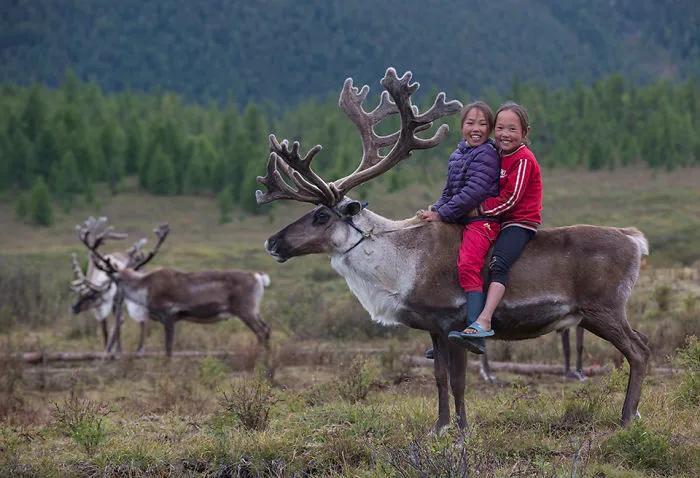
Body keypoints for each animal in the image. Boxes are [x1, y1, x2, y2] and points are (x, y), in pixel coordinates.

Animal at [75, 217, 272, 357]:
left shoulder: (168, 315)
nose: (115, 299)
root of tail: (259, 277)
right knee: (267, 329)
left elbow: (168, 351)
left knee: (261, 332)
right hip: (254, 310)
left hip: (245, 309)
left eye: (113, 282)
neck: (144, 289)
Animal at [255, 68, 650, 430]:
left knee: (640, 350)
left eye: (321, 215)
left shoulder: (454, 321)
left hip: (602, 308)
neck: (398, 264)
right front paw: (440, 427)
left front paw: (461, 430)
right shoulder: (433, 326)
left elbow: (460, 381)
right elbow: (440, 378)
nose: (272, 242)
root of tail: (635, 238)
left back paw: (626, 418)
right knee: (642, 343)